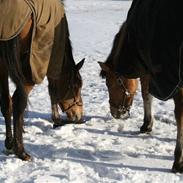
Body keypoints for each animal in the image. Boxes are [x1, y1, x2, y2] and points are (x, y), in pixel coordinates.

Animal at [0, 0, 84, 160]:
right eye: (76, 86)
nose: (79, 116)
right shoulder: (51, 61)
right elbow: (53, 90)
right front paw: (56, 120)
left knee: (7, 102)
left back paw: (10, 143)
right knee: (18, 101)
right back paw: (20, 150)